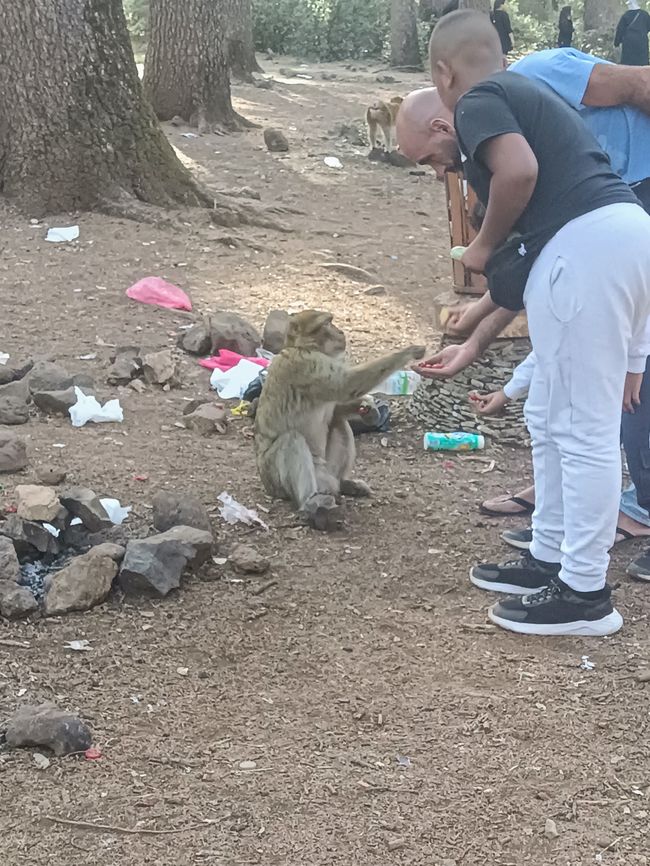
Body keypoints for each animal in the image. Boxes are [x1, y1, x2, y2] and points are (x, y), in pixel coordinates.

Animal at [254, 310, 425, 531]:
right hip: (275, 480)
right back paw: (311, 502)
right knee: (291, 439)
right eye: (327, 324)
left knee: (339, 423)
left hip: (328, 471)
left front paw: (368, 410)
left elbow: (336, 408)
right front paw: (410, 351)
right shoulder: (305, 365)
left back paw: (344, 483)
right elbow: (346, 385)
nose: (340, 331)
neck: (302, 347)